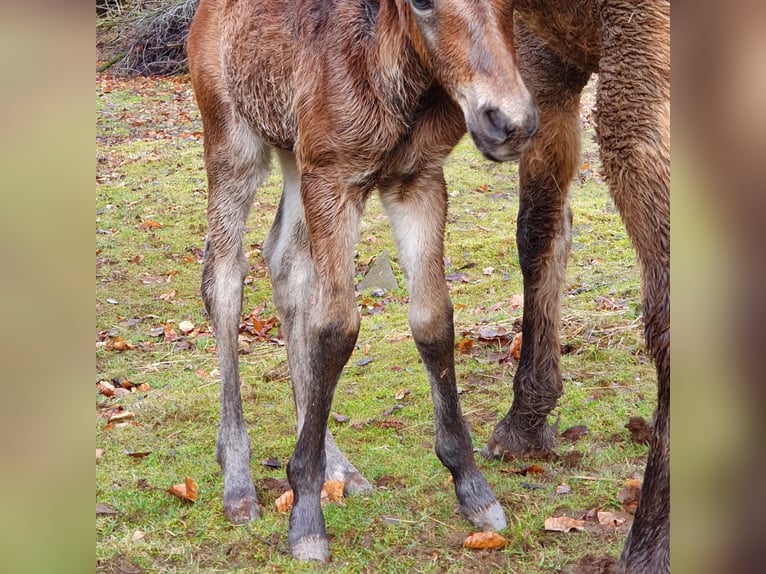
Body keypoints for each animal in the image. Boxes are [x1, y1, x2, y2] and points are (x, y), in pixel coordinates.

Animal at [188, 0, 540, 564]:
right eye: (421, 3)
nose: (508, 123)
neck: (394, 79)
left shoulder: (417, 180)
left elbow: (433, 320)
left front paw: (473, 488)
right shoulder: (334, 179)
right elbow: (337, 328)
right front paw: (306, 519)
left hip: (296, 156)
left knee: (284, 261)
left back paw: (338, 463)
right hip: (232, 140)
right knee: (223, 275)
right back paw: (238, 479)